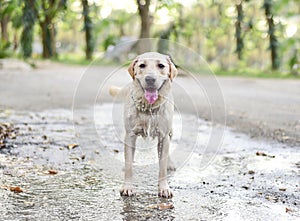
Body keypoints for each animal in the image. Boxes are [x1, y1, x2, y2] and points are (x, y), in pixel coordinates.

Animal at [110, 52, 177, 199]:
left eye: (161, 66)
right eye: (142, 65)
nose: (150, 79)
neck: (149, 107)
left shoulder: (164, 136)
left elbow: (162, 167)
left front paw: (164, 188)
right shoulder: (130, 135)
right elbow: (129, 164)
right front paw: (127, 187)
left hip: (170, 131)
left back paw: (170, 163)